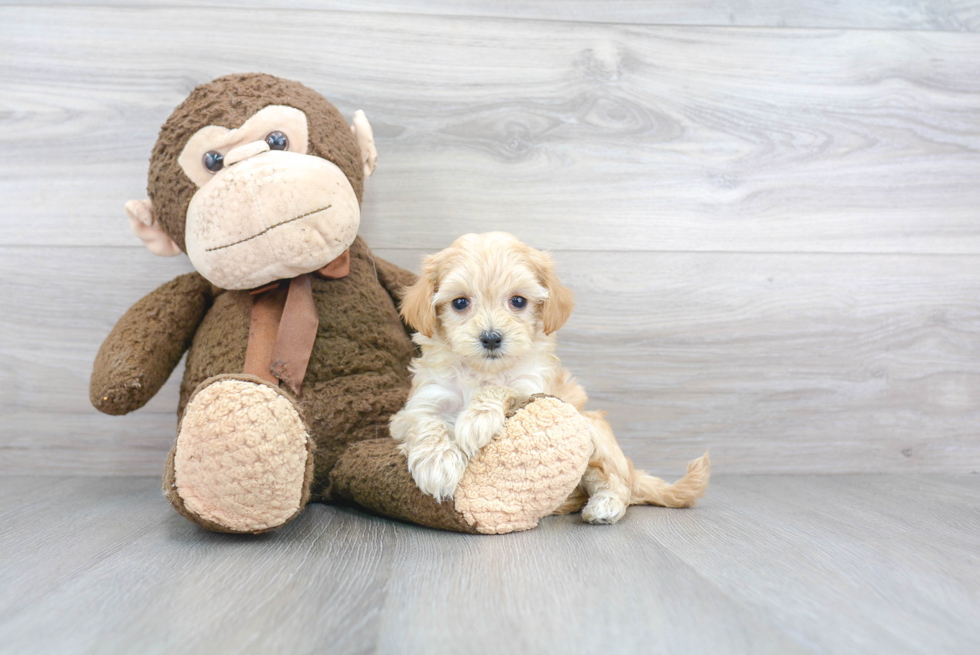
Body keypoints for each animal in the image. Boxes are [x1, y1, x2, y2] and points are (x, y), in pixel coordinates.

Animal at [392, 233, 712, 524]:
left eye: (518, 301)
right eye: (460, 303)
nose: (491, 338)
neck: (481, 371)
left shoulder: (534, 389)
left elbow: (502, 389)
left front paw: (476, 419)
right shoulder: (421, 402)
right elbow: (425, 422)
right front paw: (438, 463)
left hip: (593, 433)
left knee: (616, 483)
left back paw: (605, 506)